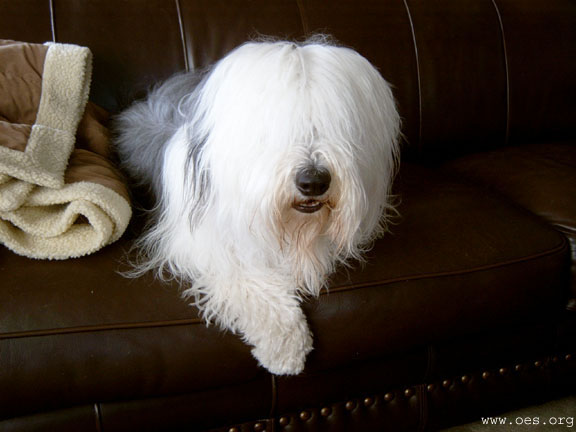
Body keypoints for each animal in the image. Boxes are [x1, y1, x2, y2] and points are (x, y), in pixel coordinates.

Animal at [114, 37, 398, 374]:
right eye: (276, 131)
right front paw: (286, 347)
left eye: (336, 126)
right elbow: (246, 278)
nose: (313, 181)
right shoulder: (205, 244)